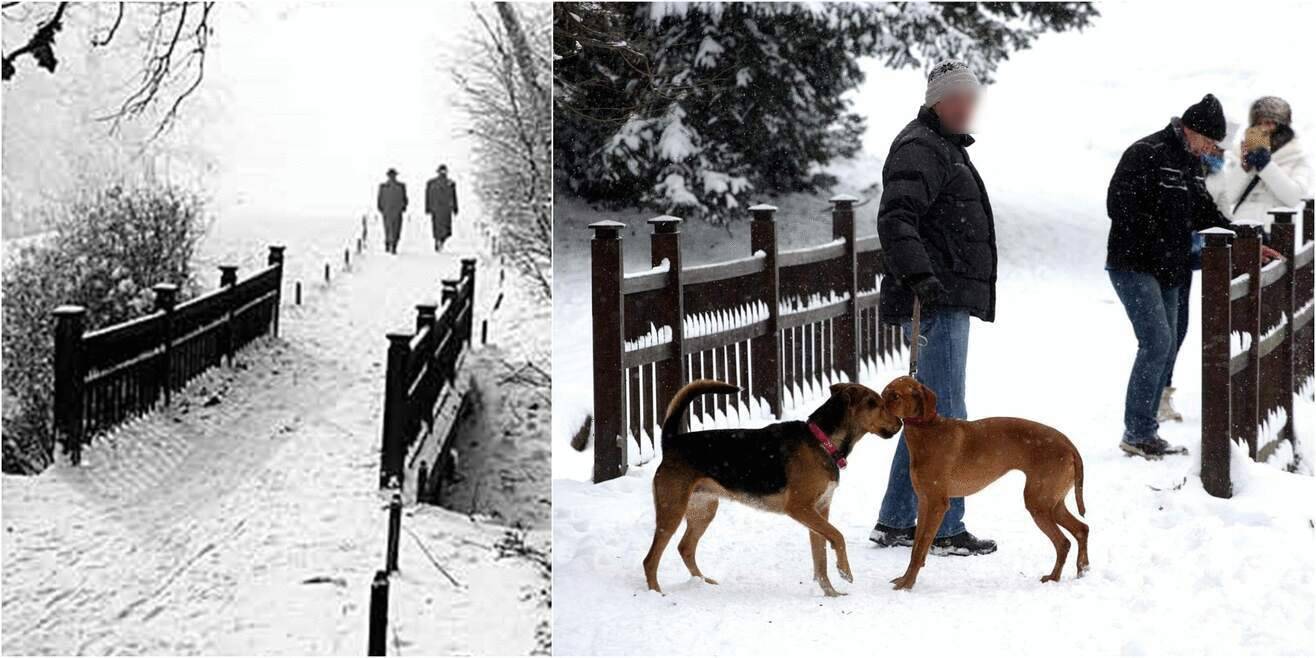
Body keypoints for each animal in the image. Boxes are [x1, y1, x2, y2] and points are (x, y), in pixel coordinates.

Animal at [639, 379, 905, 600]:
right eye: (876, 404)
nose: (900, 422)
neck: (823, 441)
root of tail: (671, 442)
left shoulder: (819, 512)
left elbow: (820, 561)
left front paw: (831, 593)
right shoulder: (800, 508)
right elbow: (838, 537)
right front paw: (845, 570)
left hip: (703, 509)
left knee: (685, 548)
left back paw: (702, 583)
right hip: (672, 511)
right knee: (650, 559)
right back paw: (656, 593)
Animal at [879, 376, 1084, 592]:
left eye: (895, 396)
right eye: (883, 393)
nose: (877, 405)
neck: (927, 431)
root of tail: (1069, 445)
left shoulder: (937, 504)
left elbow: (920, 549)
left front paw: (907, 584)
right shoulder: (924, 502)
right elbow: (916, 548)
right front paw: (904, 579)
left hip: (1039, 503)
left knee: (1063, 542)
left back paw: (1054, 577)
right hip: (1052, 504)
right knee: (1082, 529)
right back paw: (1082, 569)